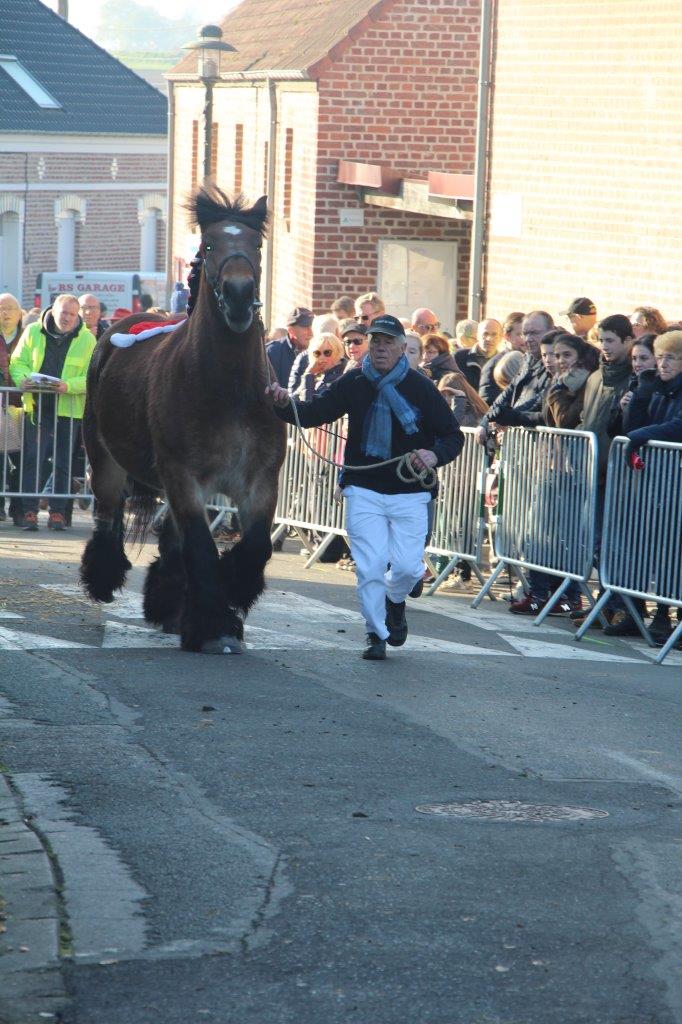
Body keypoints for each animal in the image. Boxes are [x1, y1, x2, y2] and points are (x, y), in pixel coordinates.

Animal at [79, 189, 284, 655]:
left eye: (256, 244)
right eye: (209, 245)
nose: (240, 293)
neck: (230, 391)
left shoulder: (259, 480)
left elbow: (256, 544)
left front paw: (233, 590)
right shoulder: (184, 477)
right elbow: (202, 549)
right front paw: (215, 625)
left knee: (170, 539)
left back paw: (169, 603)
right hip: (105, 460)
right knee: (108, 515)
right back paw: (104, 580)